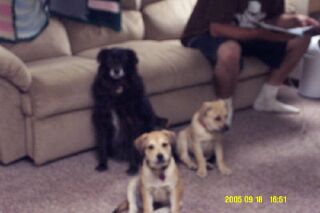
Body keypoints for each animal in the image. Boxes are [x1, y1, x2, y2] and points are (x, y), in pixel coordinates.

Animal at [90, 47, 168, 175]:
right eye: (110, 60)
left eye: (124, 60)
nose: (116, 70)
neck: (117, 87)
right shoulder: (103, 120)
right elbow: (102, 145)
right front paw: (102, 164)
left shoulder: (133, 122)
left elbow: (133, 147)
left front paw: (133, 167)